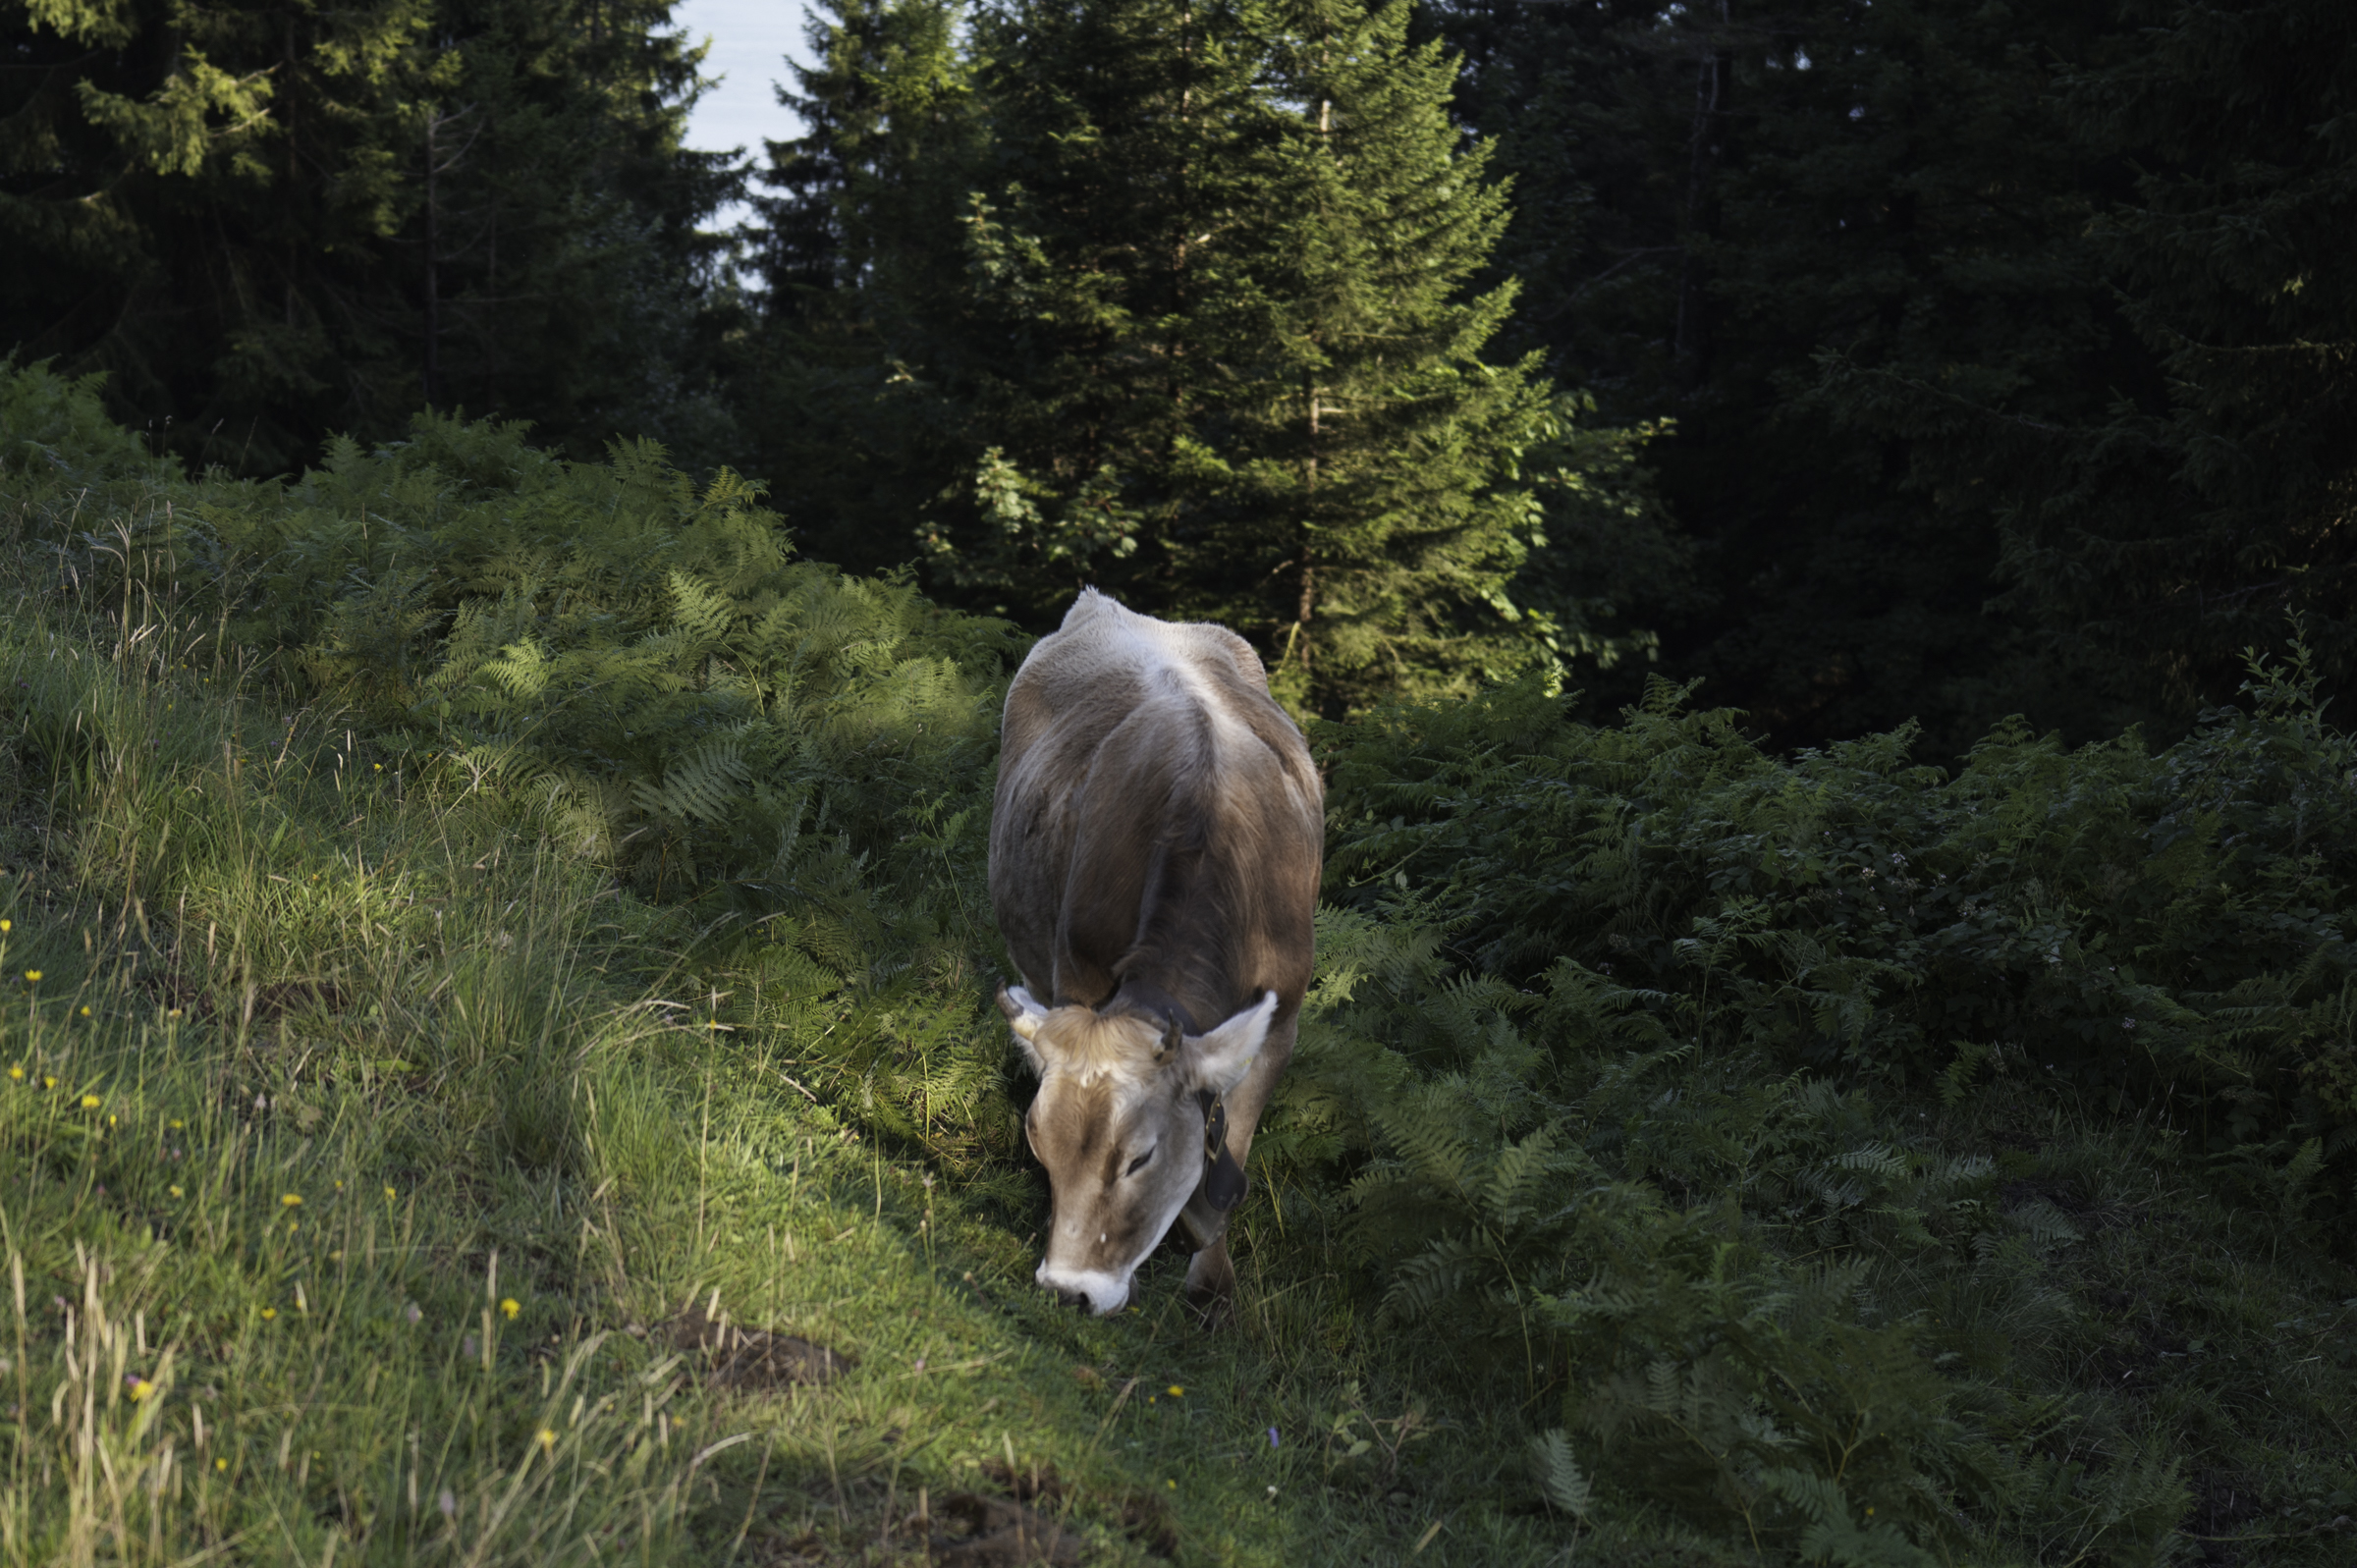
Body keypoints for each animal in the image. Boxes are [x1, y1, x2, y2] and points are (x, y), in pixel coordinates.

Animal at [989, 589, 1322, 1319]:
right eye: (1038, 1140)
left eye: (1139, 1158)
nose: (1071, 1290)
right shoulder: (1075, 979)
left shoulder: (1282, 1018)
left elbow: (1232, 1151)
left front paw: (1210, 1285)